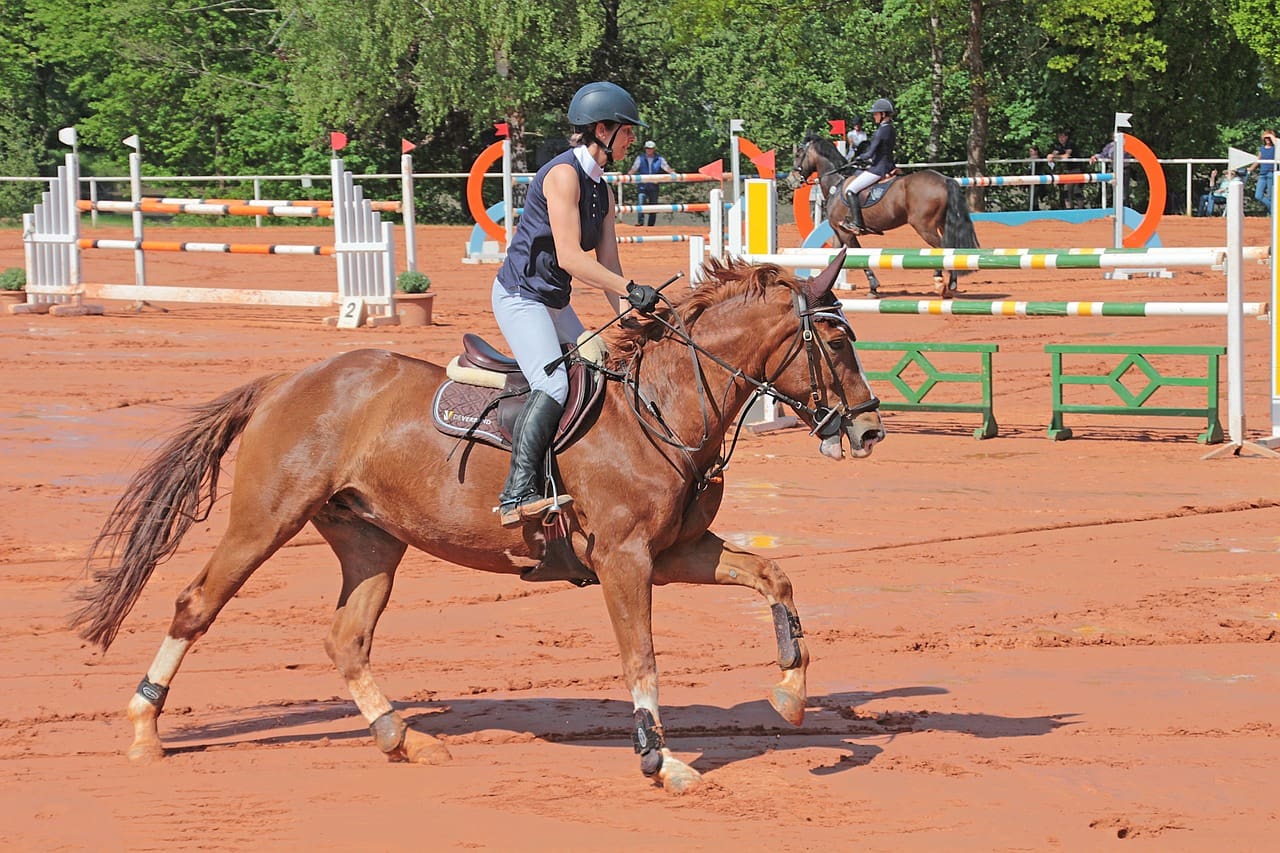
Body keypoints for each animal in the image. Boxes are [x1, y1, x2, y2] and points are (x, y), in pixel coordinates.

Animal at [69, 253, 884, 795]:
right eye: (838, 343)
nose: (869, 429)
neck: (663, 405)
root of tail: (287, 380)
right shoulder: (625, 559)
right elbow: (642, 656)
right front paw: (662, 759)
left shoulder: (679, 551)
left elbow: (775, 575)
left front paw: (791, 693)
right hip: (264, 520)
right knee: (195, 604)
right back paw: (143, 728)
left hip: (372, 540)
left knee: (346, 638)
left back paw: (401, 737)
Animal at [786, 133, 980, 297]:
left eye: (799, 154)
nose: (790, 180)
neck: (837, 183)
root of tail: (944, 179)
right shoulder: (838, 233)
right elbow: (835, 257)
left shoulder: (846, 233)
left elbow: (859, 256)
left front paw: (873, 287)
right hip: (941, 223)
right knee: (951, 249)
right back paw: (951, 283)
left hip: (924, 227)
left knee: (942, 249)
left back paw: (939, 281)